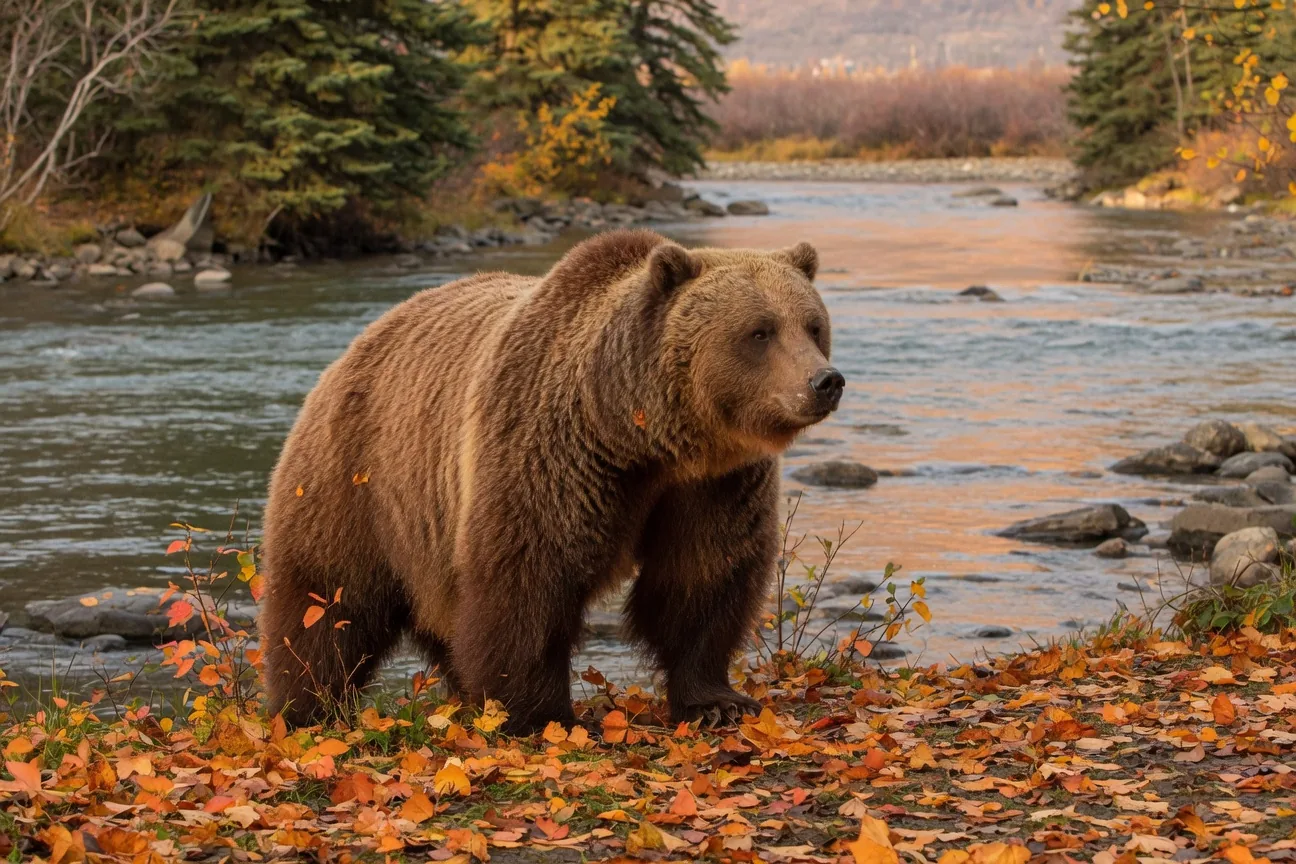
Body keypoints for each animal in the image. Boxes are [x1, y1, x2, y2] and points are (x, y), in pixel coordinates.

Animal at [258, 229, 844, 733]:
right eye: (760, 331)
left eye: (813, 325)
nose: (825, 381)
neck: (641, 435)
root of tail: (359, 342)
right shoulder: (549, 450)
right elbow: (530, 574)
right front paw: (538, 715)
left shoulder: (714, 483)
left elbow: (702, 575)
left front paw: (718, 702)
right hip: (359, 478)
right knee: (327, 602)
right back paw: (308, 706)